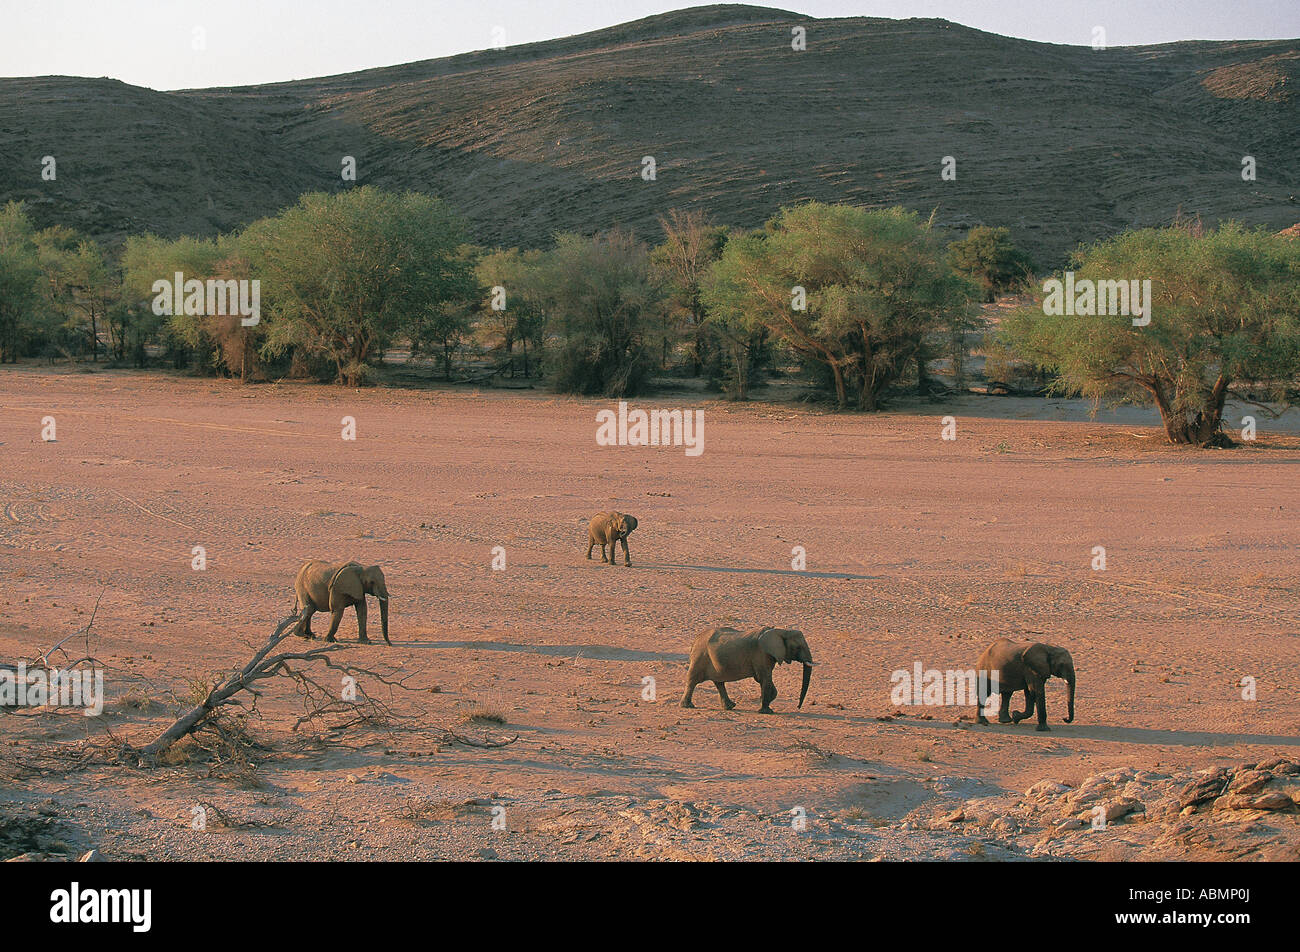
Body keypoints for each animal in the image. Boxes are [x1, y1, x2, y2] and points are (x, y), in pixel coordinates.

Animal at [681, 624, 811, 712]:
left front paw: (766, 702)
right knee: (692, 680)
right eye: (798, 647)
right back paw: (687, 706)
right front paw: (766, 711)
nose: (798, 707)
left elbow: (764, 680)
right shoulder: (761, 654)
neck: (780, 631)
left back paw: (730, 707)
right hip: (700, 656)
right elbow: (764, 678)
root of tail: (696, 639)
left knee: (719, 682)